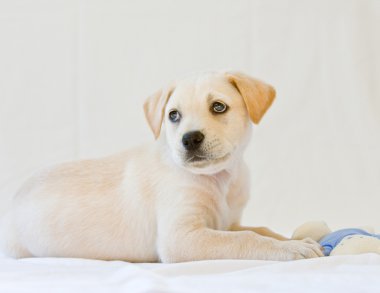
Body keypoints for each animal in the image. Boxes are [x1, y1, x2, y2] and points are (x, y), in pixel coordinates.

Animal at [0, 72, 324, 262]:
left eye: (218, 107)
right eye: (173, 115)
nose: (189, 139)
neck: (218, 179)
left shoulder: (227, 222)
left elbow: (260, 229)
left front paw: (294, 239)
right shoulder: (180, 238)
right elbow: (246, 239)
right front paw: (292, 249)